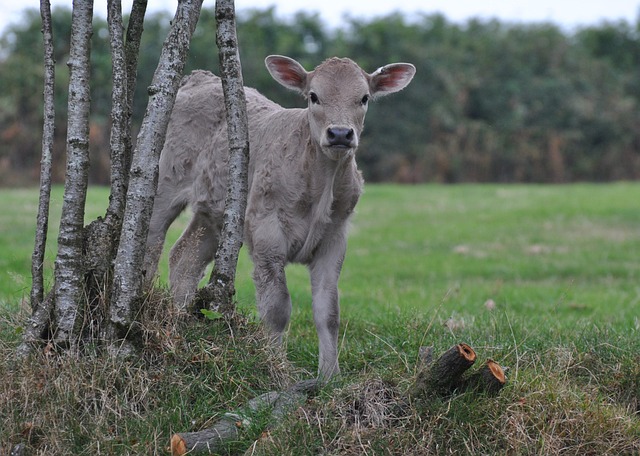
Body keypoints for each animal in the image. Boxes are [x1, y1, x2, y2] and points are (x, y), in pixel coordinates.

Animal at [144, 55, 416, 380]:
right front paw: (277, 367)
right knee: (149, 244)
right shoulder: (266, 231)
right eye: (313, 96)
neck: (320, 182)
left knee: (185, 258)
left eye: (363, 98)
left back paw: (180, 318)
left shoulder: (334, 238)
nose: (339, 134)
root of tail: (201, 77)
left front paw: (329, 376)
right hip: (163, 183)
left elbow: (328, 310)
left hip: (215, 213)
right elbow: (276, 308)